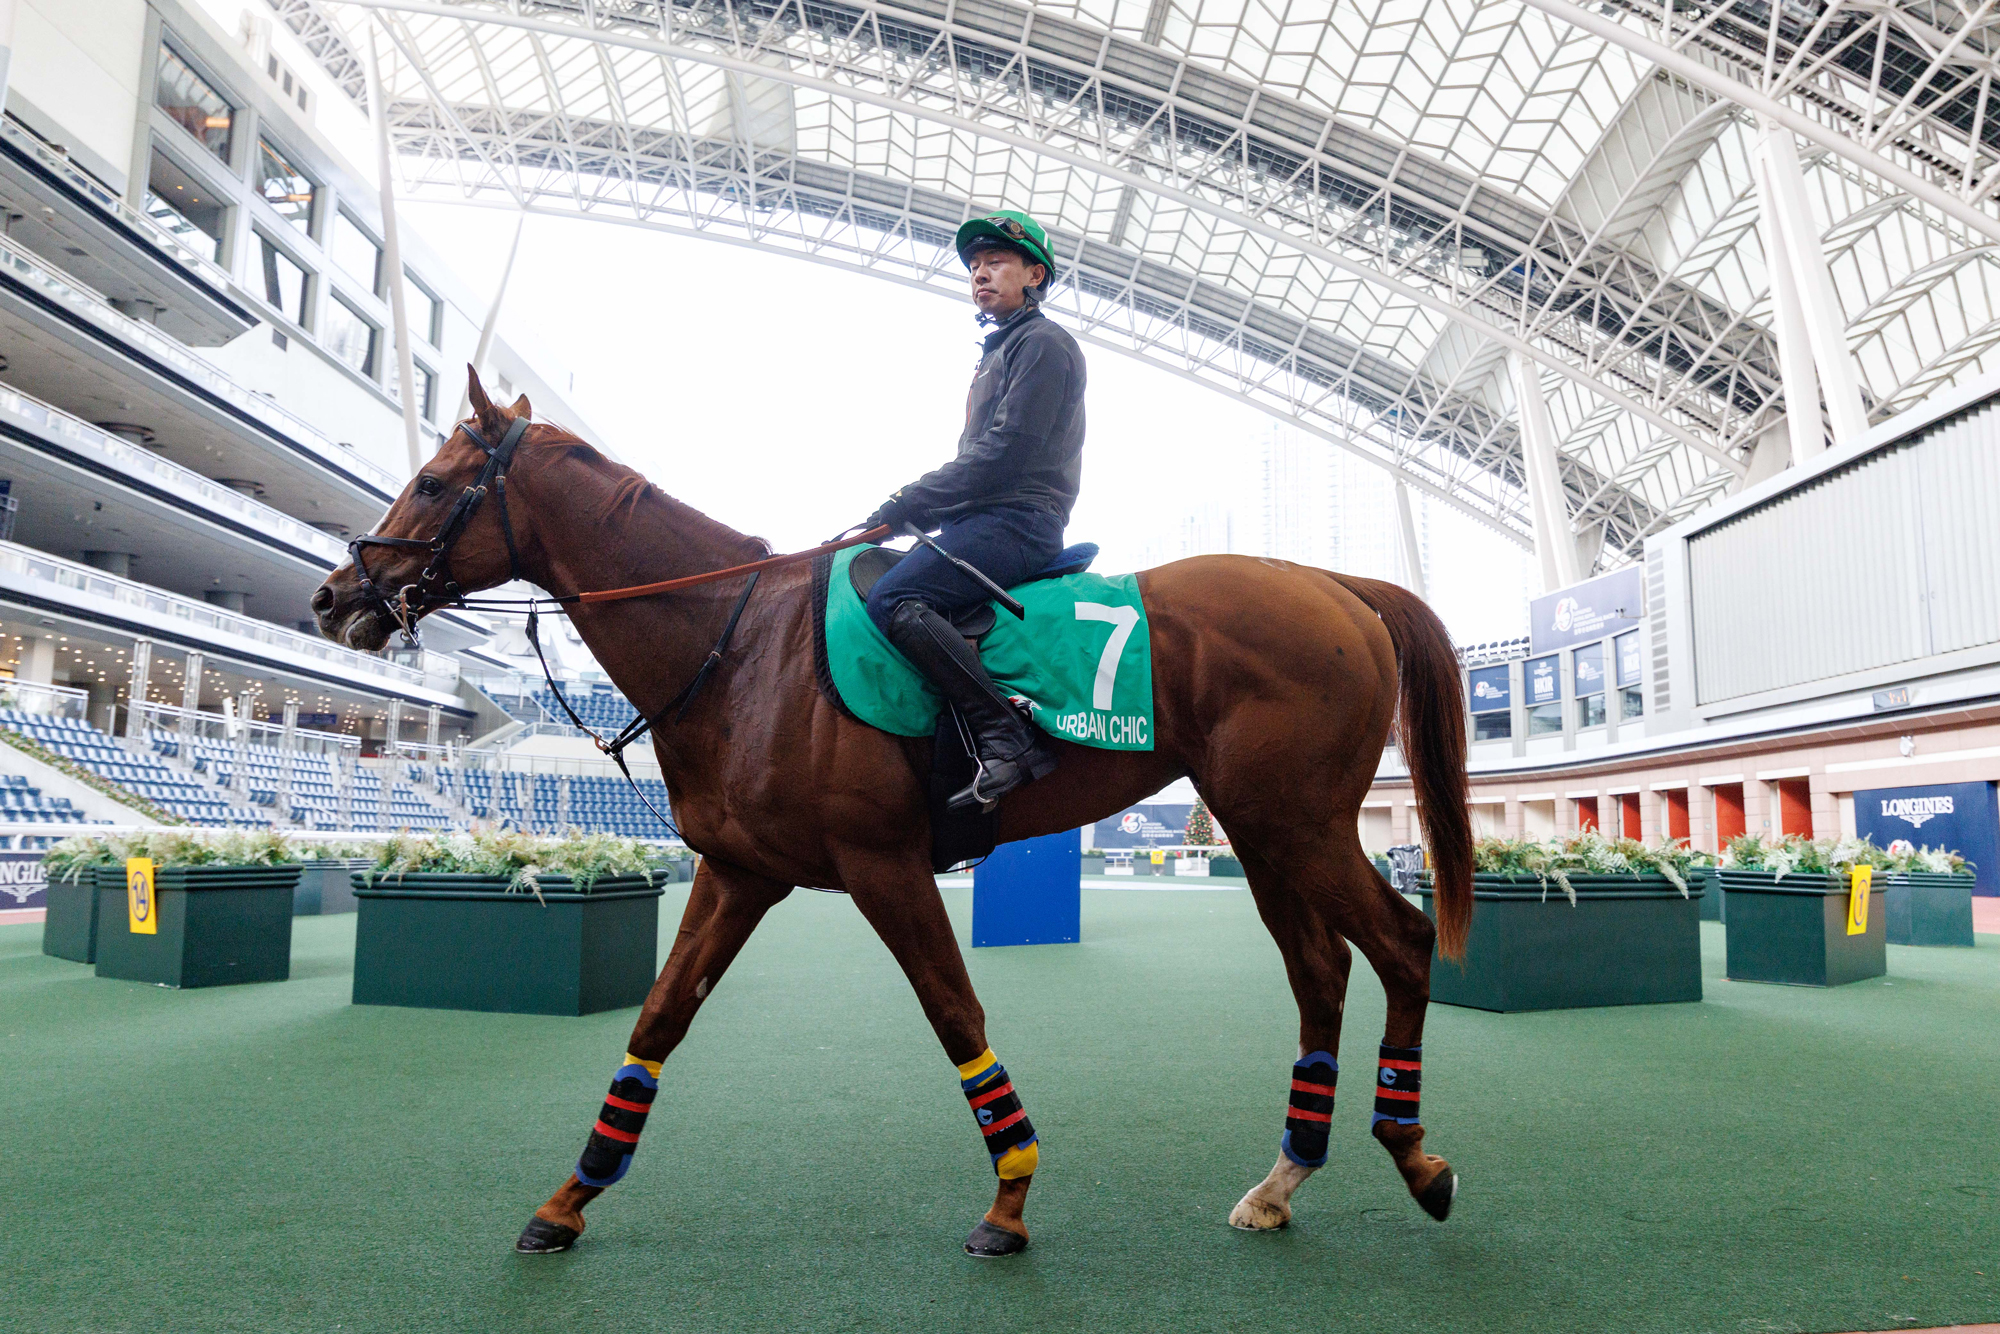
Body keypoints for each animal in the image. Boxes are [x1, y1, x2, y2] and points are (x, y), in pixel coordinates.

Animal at [311, 370, 1472, 1256]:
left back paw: (1416, 1158)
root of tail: (1334, 585)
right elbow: (659, 1018)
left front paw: (1010, 1198)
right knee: (1321, 972)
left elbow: (955, 1011)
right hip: (1263, 831)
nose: (332, 597)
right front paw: (570, 1195)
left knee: (1403, 941)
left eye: (432, 481)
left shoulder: (883, 864)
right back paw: (1282, 1180)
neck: (740, 645)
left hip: (1298, 826)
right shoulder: (740, 872)